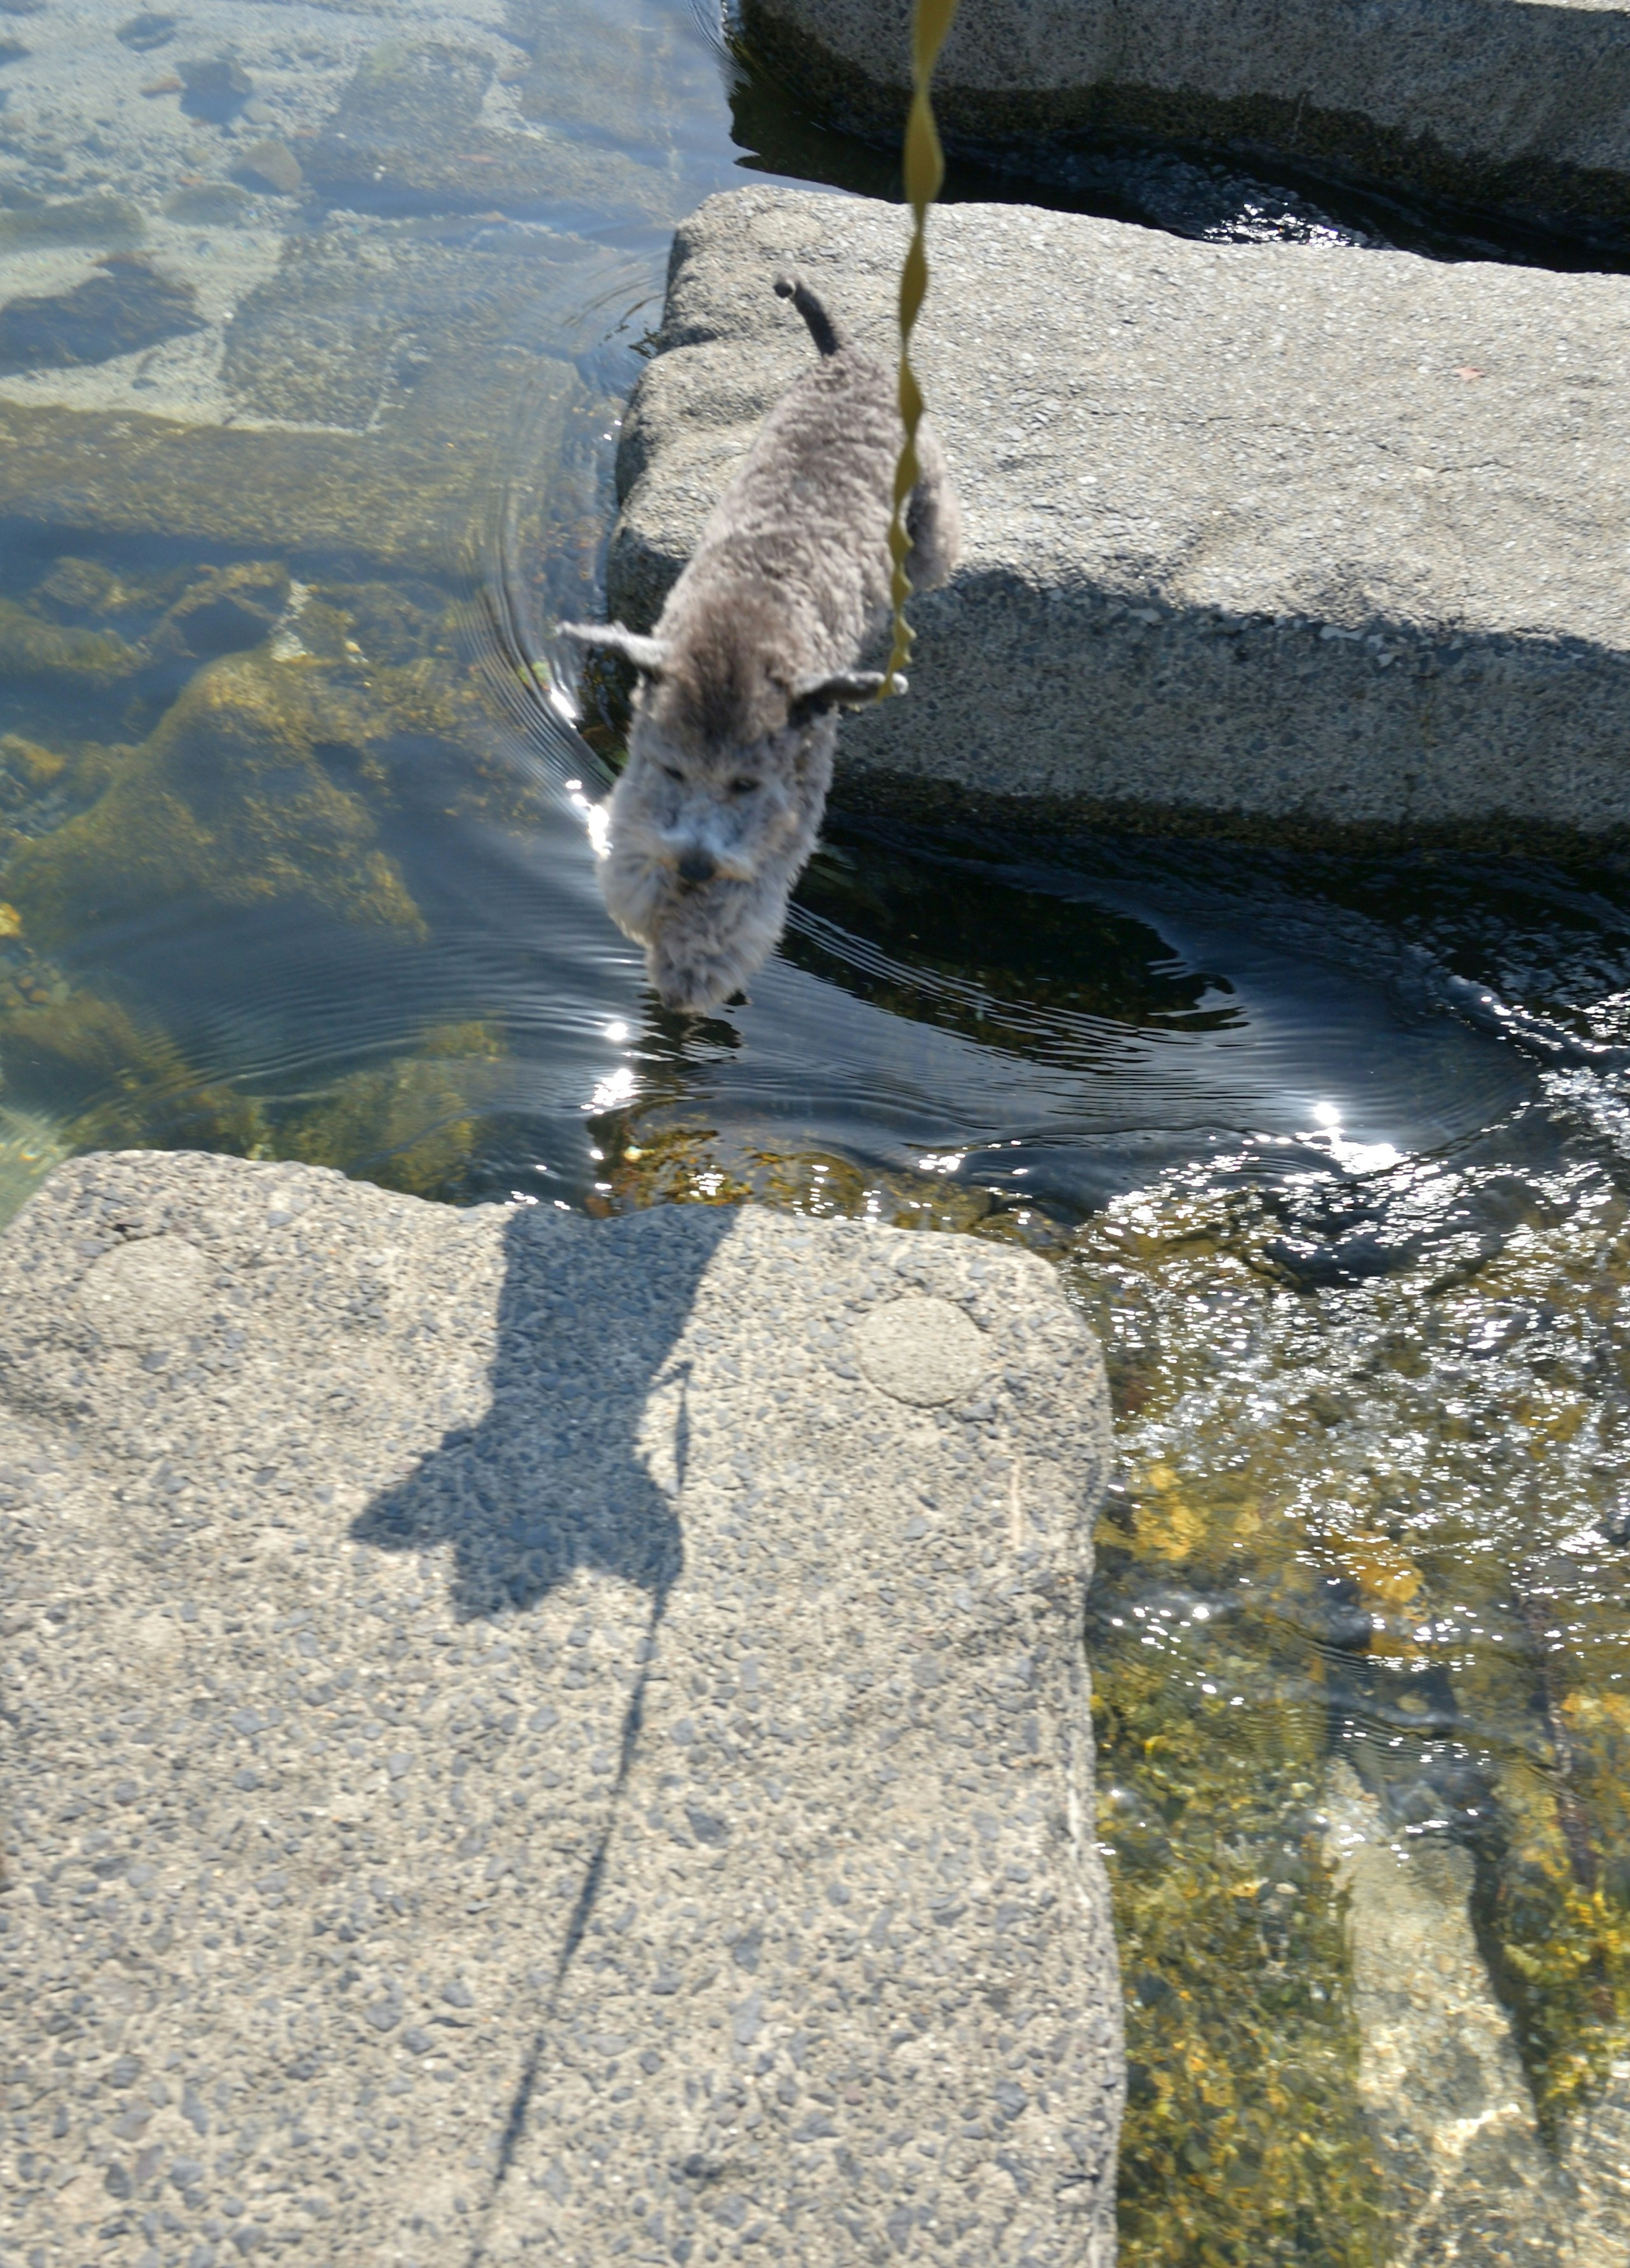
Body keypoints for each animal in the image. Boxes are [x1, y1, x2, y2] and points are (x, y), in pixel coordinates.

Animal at [567, 270, 961, 1016]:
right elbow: (634, 836)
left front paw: (695, 961)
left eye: (746, 783)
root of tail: (845, 356)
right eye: (674, 771)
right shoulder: (643, 769)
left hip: (928, 501)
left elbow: (739, 903)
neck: (746, 618)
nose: (695, 865)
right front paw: (651, 896)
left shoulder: (791, 816)